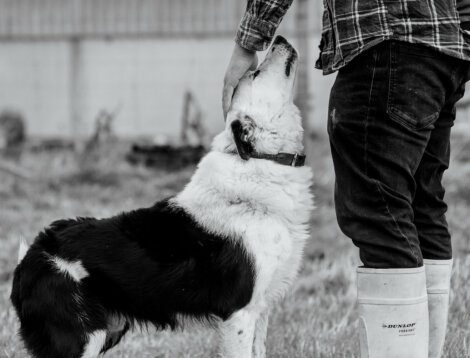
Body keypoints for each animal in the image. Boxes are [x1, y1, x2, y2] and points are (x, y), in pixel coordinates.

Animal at [11, 37, 314, 358]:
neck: (260, 158)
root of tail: (29, 257)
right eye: (255, 74)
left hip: (107, 330)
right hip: (81, 339)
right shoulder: (239, 312)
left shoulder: (261, 308)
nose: (279, 39)